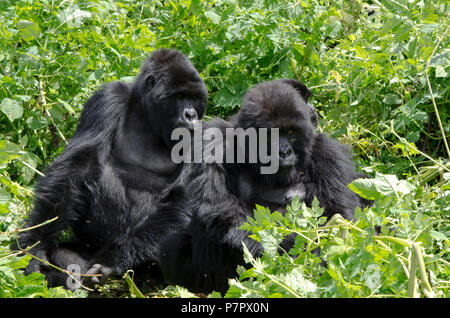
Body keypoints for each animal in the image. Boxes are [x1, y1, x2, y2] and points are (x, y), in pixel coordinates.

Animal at [14, 47, 208, 288]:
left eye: (195, 98)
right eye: (180, 96)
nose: (191, 115)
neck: (148, 117)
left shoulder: (204, 134)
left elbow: (185, 196)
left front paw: (115, 258)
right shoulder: (109, 97)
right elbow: (77, 166)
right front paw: (34, 246)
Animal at [156, 78, 370, 294]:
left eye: (290, 133)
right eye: (271, 136)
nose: (284, 152)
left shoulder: (329, 154)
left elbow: (335, 218)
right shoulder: (213, 140)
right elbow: (222, 209)